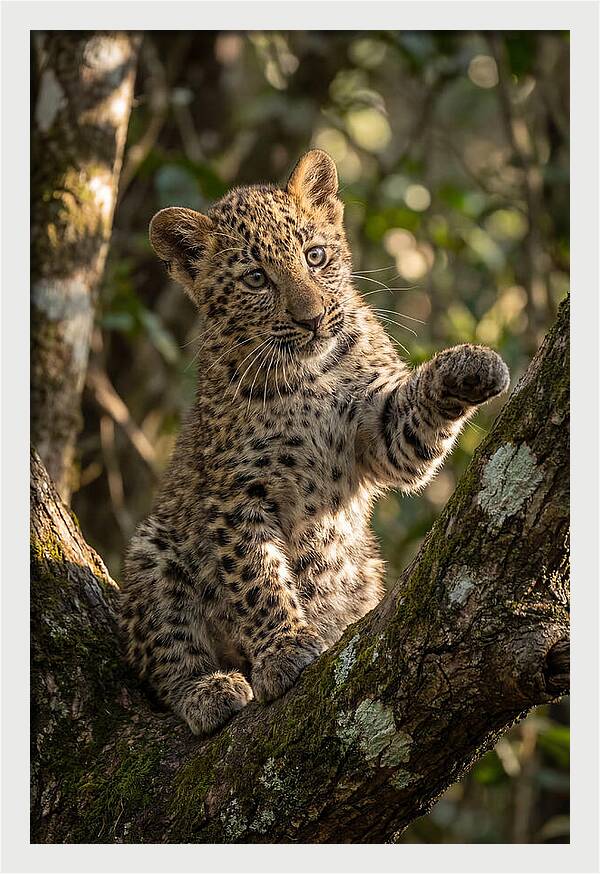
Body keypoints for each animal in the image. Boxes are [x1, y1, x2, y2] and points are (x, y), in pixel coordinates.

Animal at [120, 149, 510, 736]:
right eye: (256, 278)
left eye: (315, 255)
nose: (312, 318)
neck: (310, 376)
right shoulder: (237, 495)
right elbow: (257, 578)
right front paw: (284, 649)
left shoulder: (379, 433)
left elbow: (411, 421)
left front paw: (470, 364)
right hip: (154, 550)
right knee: (163, 657)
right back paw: (209, 690)